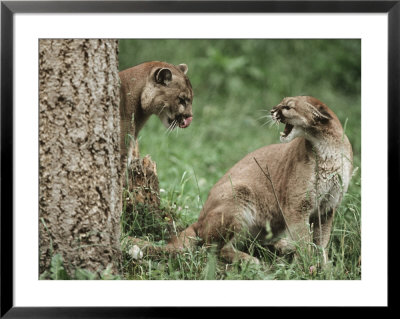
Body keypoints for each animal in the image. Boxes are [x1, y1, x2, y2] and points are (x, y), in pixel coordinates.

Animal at [132, 95, 354, 264]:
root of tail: (199, 219)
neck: (328, 148)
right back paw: (250, 260)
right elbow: (305, 240)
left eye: (288, 107)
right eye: (282, 103)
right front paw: (308, 266)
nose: (272, 110)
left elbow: (321, 241)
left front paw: (323, 266)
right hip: (240, 194)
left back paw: (281, 246)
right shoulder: (298, 206)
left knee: (251, 242)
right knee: (212, 248)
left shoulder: (327, 207)